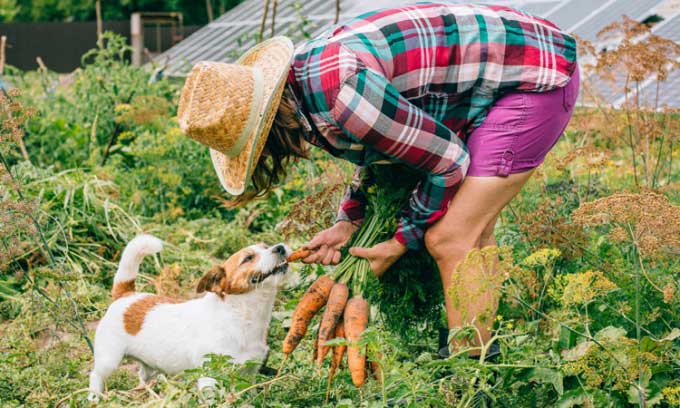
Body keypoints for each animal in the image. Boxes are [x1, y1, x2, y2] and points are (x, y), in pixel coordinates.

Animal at [86, 234, 288, 400]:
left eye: (266, 246)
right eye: (248, 258)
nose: (280, 247)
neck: (241, 316)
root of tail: (126, 294)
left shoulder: (248, 376)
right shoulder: (210, 379)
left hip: (148, 363)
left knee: (143, 375)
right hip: (109, 360)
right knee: (95, 376)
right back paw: (94, 398)